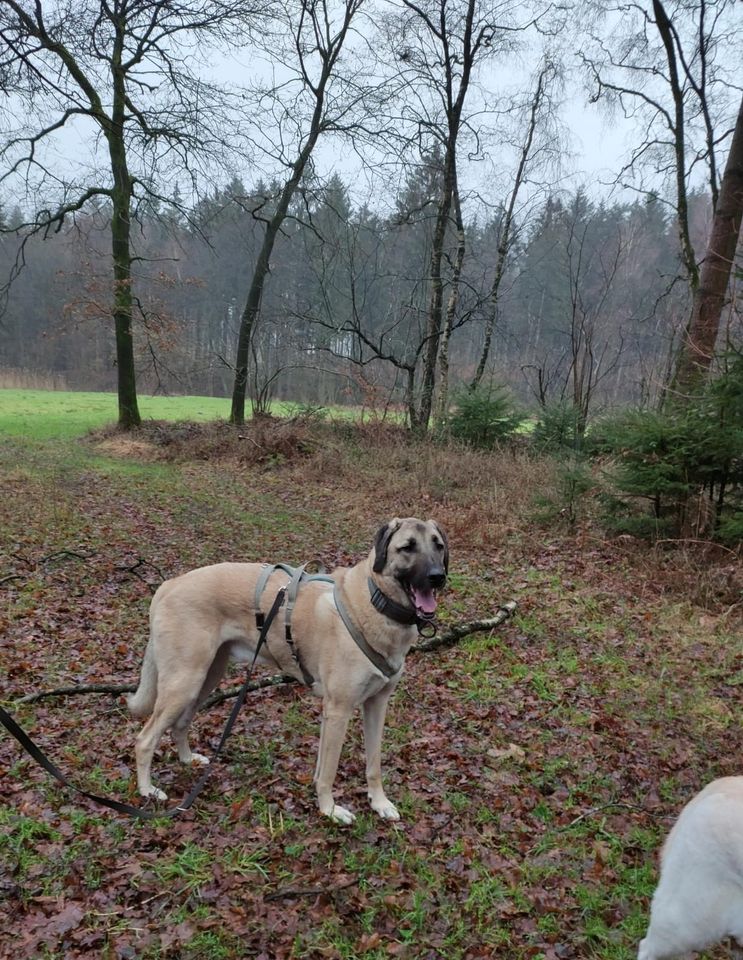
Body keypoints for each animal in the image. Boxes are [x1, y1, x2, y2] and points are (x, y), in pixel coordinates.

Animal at [128, 516, 448, 824]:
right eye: (407, 547)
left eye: (438, 545)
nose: (438, 577)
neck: (373, 603)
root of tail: (169, 584)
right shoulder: (339, 709)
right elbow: (329, 771)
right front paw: (330, 810)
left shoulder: (375, 705)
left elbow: (372, 764)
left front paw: (378, 803)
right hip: (184, 682)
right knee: (145, 740)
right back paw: (147, 790)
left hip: (206, 678)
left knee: (179, 725)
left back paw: (187, 760)